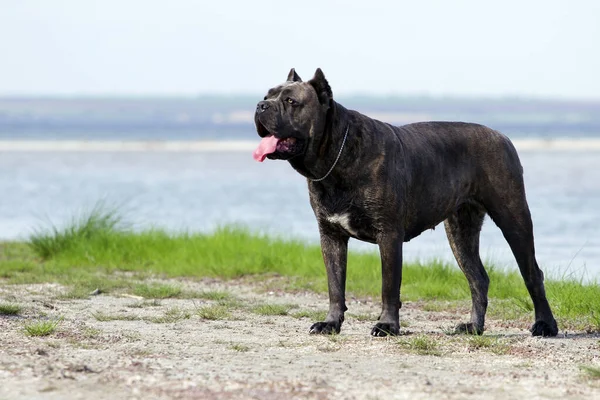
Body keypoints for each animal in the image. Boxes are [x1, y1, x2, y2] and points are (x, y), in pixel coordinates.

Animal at [252, 69, 556, 338]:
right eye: (268, 95)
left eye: (291, 101)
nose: (260, 105)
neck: (335, 157)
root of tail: (502, 136)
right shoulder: (331, 235)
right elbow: (335, 285)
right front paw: (331, 323)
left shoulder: (388, 235)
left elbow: (389, 286)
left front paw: (387, 326)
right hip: (461, 232)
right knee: (478, 278)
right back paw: (474, 327)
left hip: (513, 218)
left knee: (533, 273)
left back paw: (545, 326)